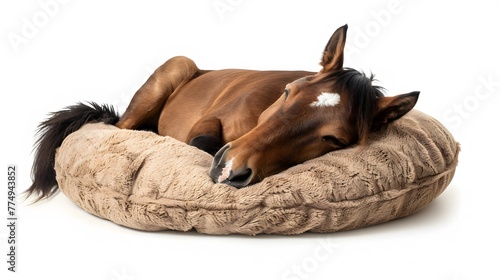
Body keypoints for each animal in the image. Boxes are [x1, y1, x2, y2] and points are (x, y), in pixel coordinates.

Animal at [26, 23, 418, 199]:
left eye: (333, 139)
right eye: (289, 92)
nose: (232, 169)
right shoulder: (208, 123)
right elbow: (200, 142)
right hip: (174, 69)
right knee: (123, 128)